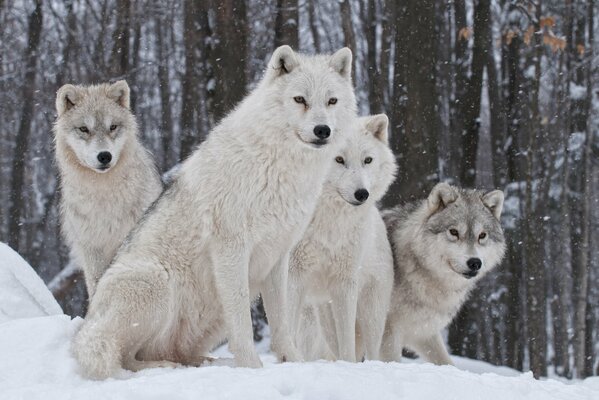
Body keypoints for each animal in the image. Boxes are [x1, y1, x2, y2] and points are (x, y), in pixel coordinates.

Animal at [52, 80, 162, 296]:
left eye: (112, 127)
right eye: (84, 129)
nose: (104, 156)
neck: (104, 194)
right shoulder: (92, 249)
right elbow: (97, 285)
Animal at [72, 46, 358, 378]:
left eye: (331, 101)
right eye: (300, 99)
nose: (322, 130)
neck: (279, 166)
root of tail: (89, 322)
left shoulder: (277, 256)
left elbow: (282, 323)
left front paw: (294, 362)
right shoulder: (231, 249)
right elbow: (243, 324)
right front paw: (252, 368)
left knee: (173, 353)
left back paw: (205, 362)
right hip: (156, 282)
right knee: (125, 357)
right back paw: (165, 366)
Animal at [290, 115, 398, 362]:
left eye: (367, 160)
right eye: (338, 159)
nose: (362, 194)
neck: (328, 222)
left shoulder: (345, 283)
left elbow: (347, 343)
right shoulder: (293, 276)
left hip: (371, 313)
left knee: (370, 351)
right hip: (319, 317)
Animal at [380, 184, 506, 366]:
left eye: (482, 235)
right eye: (454, 232)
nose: (474, 262)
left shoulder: (423, 332)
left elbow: (446, 362)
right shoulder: (388, 331)